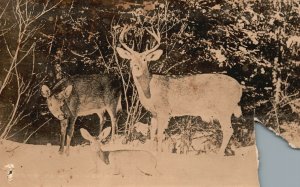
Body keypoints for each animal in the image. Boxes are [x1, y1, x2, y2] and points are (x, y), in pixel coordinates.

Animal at [116, 25, 243, 155]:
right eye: (131, 59)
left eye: (145, 60)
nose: (136, 66)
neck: (149, 91)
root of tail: (240, 88)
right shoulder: (154, 113)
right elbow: (151, 134)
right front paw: (151, 152)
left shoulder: (164, 110)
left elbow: (160, 134)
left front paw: (160, 153)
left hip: (224, 108)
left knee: (228, 130)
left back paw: (219, 154)